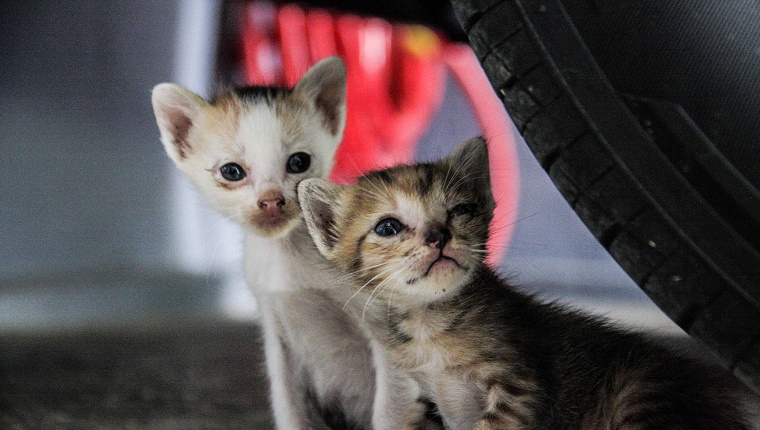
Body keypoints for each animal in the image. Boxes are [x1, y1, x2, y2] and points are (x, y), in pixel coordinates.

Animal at [153, 58, 378, 430]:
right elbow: (289, 408)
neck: (286, 257)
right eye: (231, 171)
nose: (272, 200)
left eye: (299, 162)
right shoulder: (277, 338)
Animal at [300, 138, 752, 430]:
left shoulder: (519, 385)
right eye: (388, 227)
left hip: (641, 396)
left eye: (461, 211)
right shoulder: (428, 400)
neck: (432, 327)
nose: (438, 236)